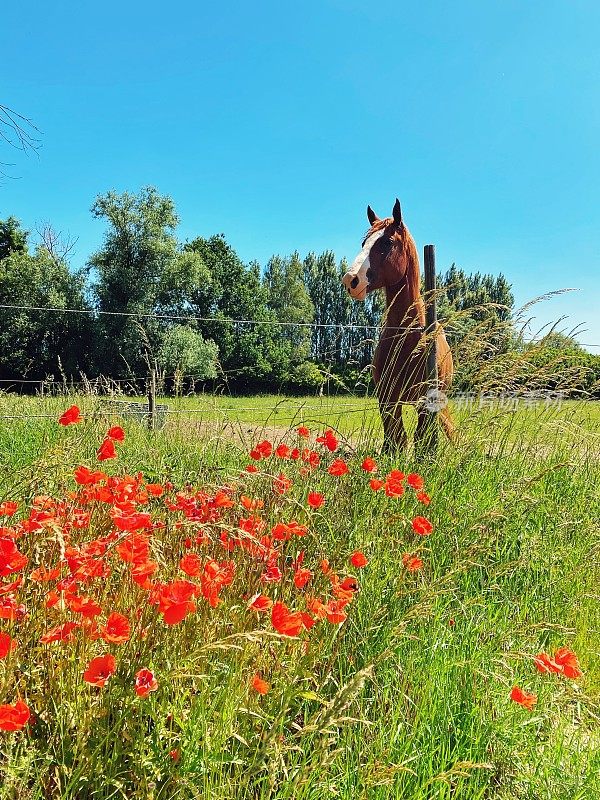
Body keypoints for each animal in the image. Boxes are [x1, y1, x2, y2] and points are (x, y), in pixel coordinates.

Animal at [342, 198, 454, 454]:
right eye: (364, 243)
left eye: (387, 242)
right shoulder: (387, 397)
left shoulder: (425, 401)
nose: (351, 280)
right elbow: (395, 439)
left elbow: (420, 439)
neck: (407, 336)